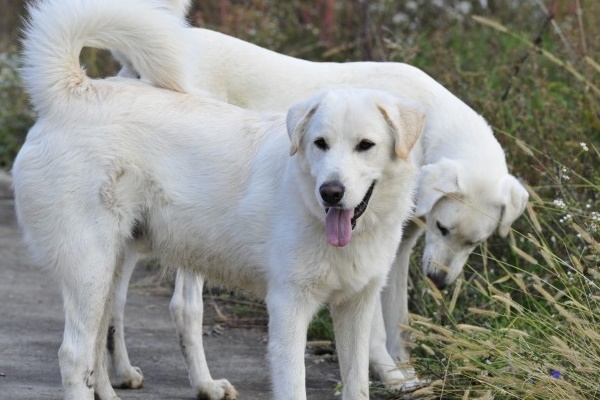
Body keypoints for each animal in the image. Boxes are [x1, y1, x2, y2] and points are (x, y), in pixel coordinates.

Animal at [16, 0, 424, 400]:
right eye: (320, 143)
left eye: (365, 145)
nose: (331, 192)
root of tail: (73, 91)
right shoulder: (289, 307)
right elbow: (294, 384)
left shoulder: (356, 307)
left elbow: (357, 382)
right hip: (88, 268)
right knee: (74, 354)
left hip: (107, 270)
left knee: (99, 340)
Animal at [102, 0, 528, 394]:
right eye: (442, 227)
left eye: (474, 243)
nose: (439, 280)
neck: (428, 126)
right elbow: (374, 329)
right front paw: (387, 372)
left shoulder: (398, 248)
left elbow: (399, 319)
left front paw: (404, 374)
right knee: (184, 308)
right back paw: (205, 384)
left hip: (132, 231)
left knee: (113, 301)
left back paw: (121, 372)